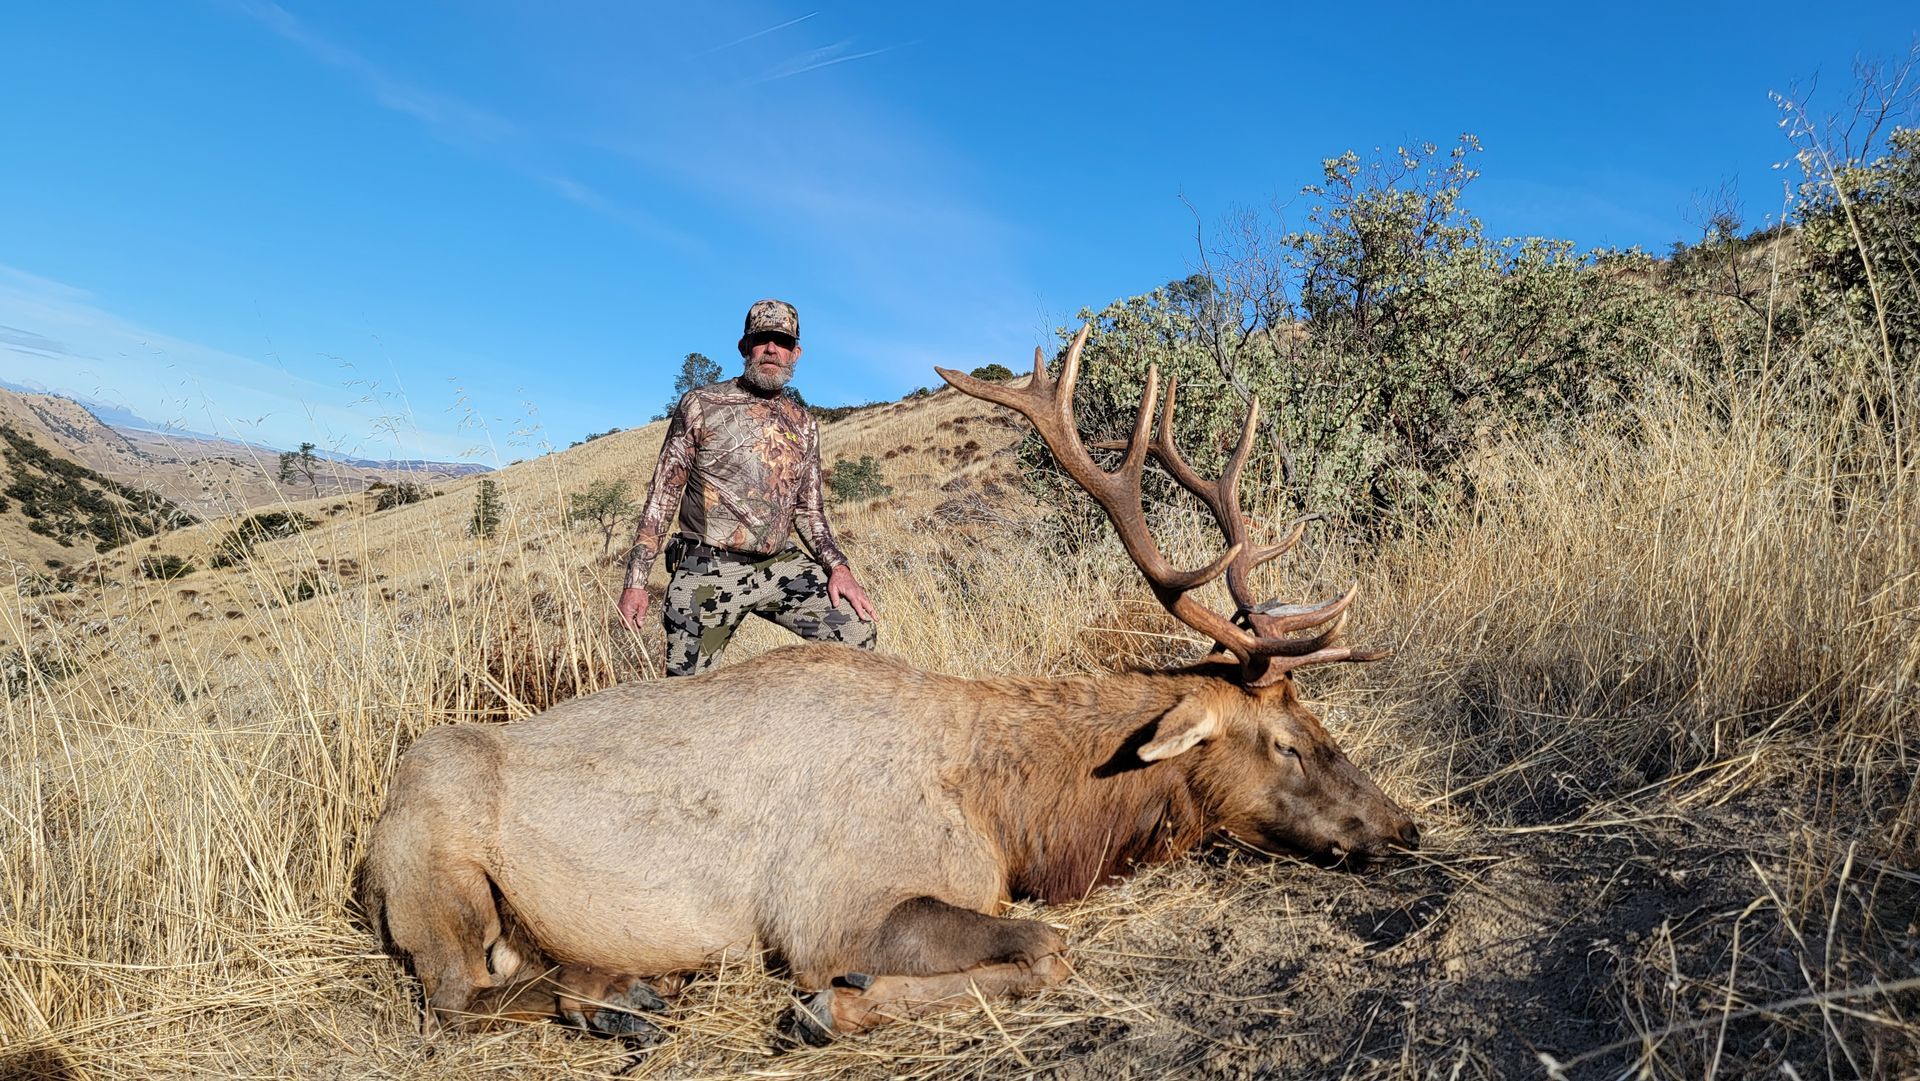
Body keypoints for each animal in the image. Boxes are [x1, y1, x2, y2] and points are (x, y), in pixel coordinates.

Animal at [357, 325, 1417, 1044]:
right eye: (1289, 739)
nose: (1403, 824)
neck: (1015, 812)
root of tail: (366, 860)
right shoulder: (836, 908)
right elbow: (1045, 947)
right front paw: (830, 1007)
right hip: (437, 869)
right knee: (453, 995)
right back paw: (626, 1003)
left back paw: (625, 993)